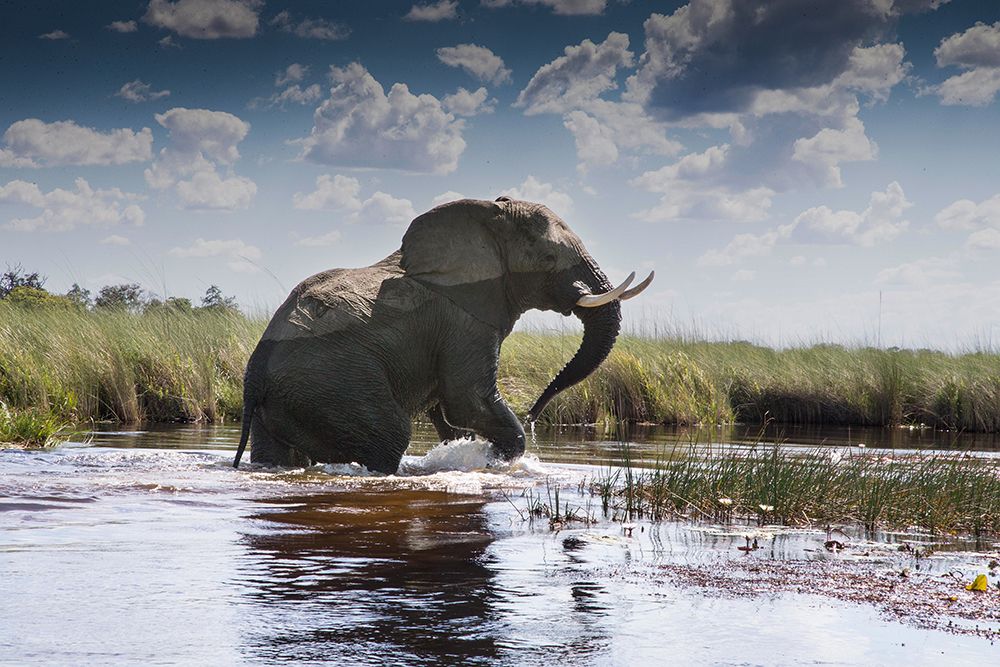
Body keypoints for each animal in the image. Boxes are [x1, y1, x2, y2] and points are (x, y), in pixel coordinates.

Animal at [233, 196, 652, 473]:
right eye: (549, 259)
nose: (534, 412)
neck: (486, 216)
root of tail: (255, 375)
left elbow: (448, 411)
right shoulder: (464, 321)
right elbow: (466, 401)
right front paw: (491, 459)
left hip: (288, 401)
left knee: (275, 453)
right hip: (333, 384)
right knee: (390, 435)